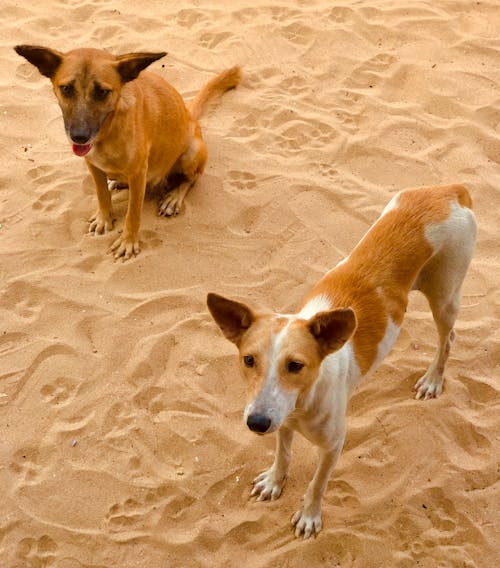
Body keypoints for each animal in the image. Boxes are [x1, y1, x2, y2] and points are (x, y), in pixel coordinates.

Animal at [16, 46, 239, 260]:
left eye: (103, 92)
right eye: (66, 89)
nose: (79, 137)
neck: (108, 131)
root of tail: (190, 115)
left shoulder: (138, 173)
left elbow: (133, 214)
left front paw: (128, 242)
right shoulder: (93, 166)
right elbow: (101, 194)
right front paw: (104, 218)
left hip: (191, 153)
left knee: (191, 179)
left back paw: (173, 197)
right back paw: (118, 182)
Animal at [207, 187, 476, 540]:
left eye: (296, 365)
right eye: (248, 360)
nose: (257, 423)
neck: (304, 402)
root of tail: (450, 189)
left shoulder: (333, 445)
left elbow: (317, 484)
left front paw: (310, 516)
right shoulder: (282, 422)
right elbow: (283, 454)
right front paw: (275, 481)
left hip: (446, 296)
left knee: (449, 339)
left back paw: (433, 379)